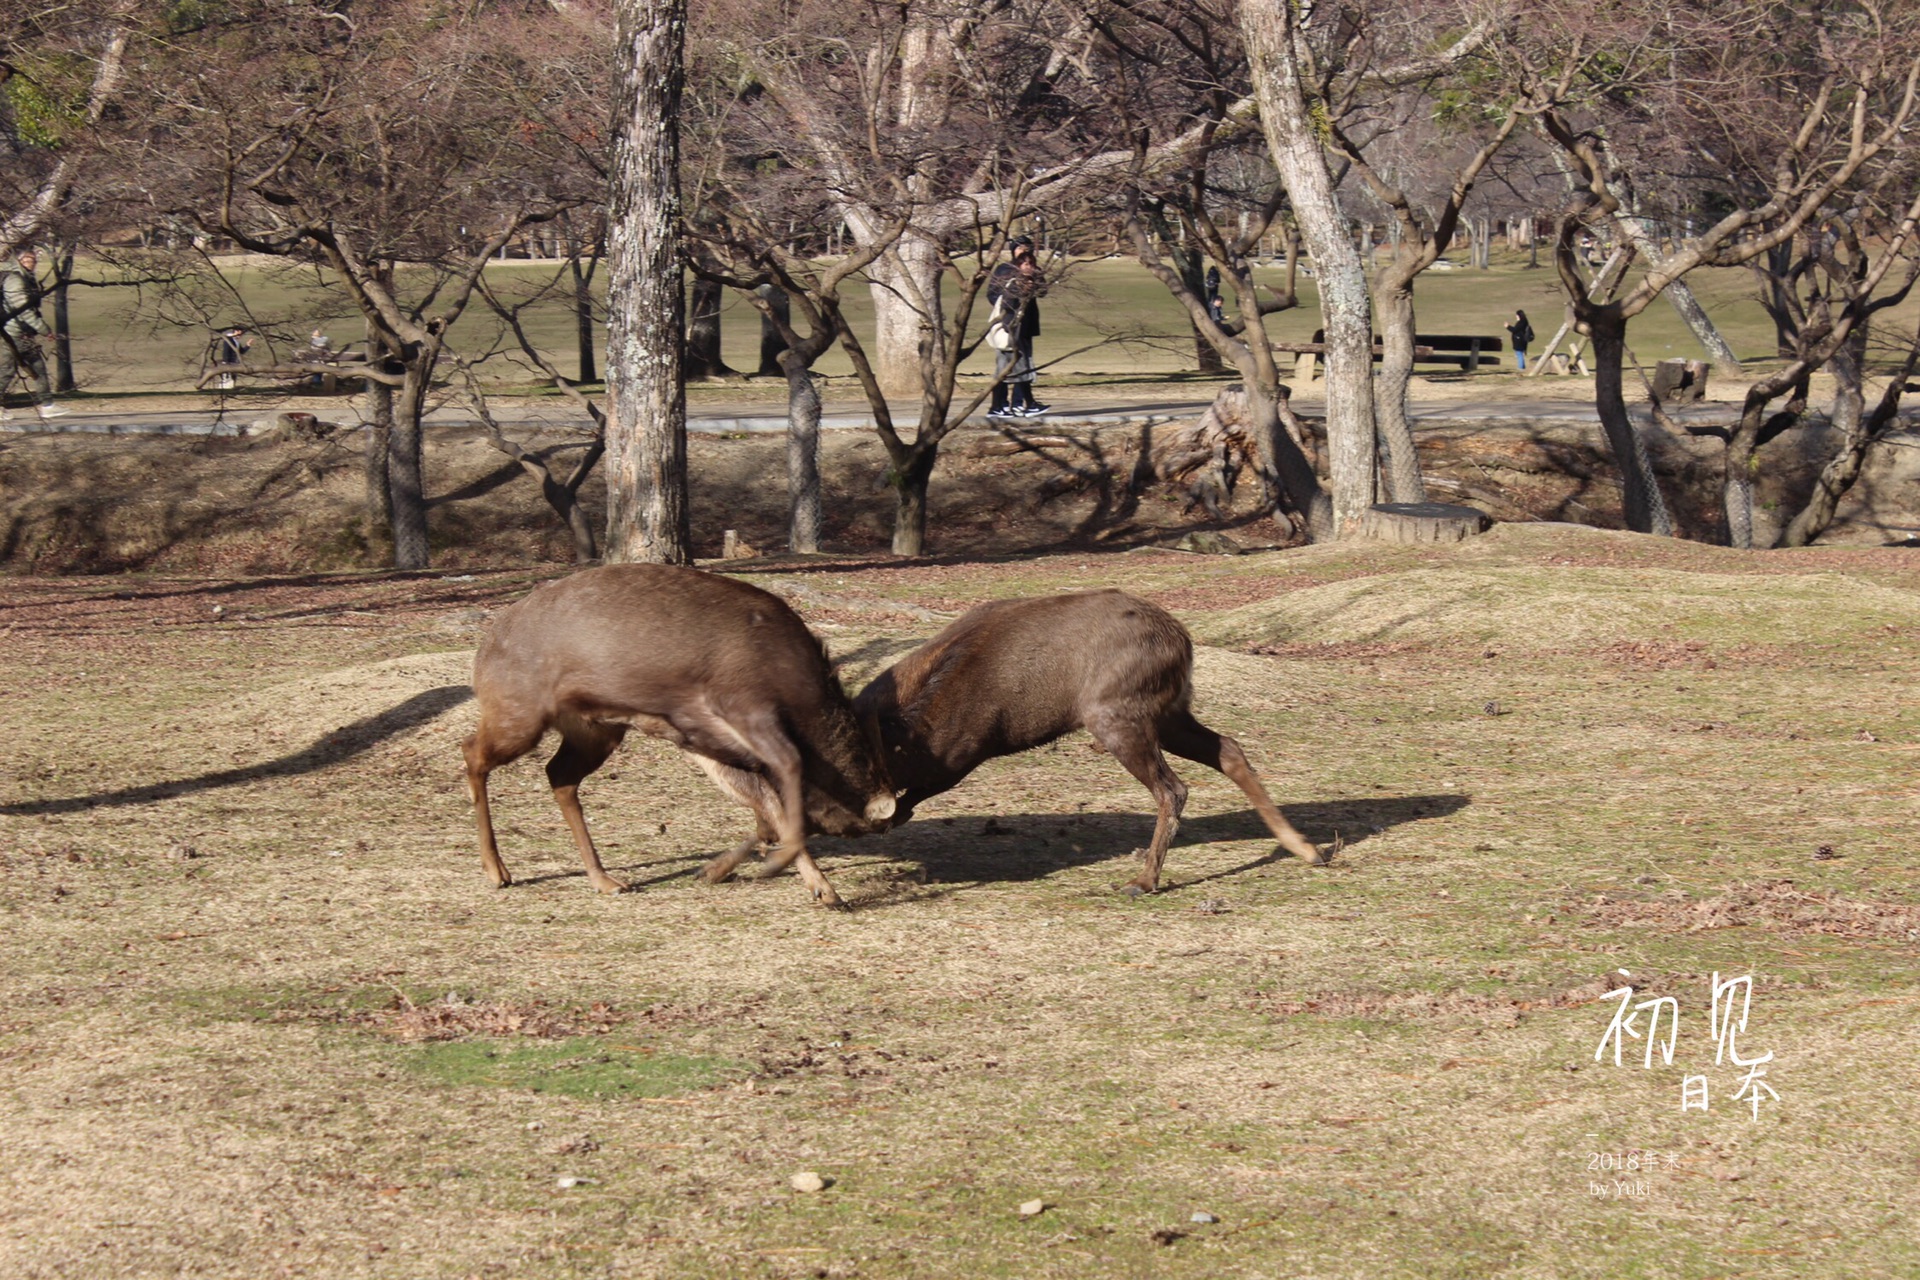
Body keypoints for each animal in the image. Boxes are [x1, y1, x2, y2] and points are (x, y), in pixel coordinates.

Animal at [460, 564, 894, 909]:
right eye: (850, 827)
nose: (879, 826)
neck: (800, 692)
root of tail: (482, 652)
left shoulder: (707, 741)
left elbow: (767, 810)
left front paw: (802, 882)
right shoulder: (741, 702)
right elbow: (789, 767)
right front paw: (793, 871)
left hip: (596, 729)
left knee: (559, 775)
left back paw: (604, 878)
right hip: (518, 711)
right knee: (472, 752)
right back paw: (496, 869)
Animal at [702, 587, 1320, 898]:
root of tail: (1183, 640)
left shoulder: (960, 755)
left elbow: (891, 813)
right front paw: (720, 867)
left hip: (1116, 712)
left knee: (1174, 787)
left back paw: (1145, 879)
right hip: (1168, 710)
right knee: (1231, 748)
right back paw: (1305, 848)